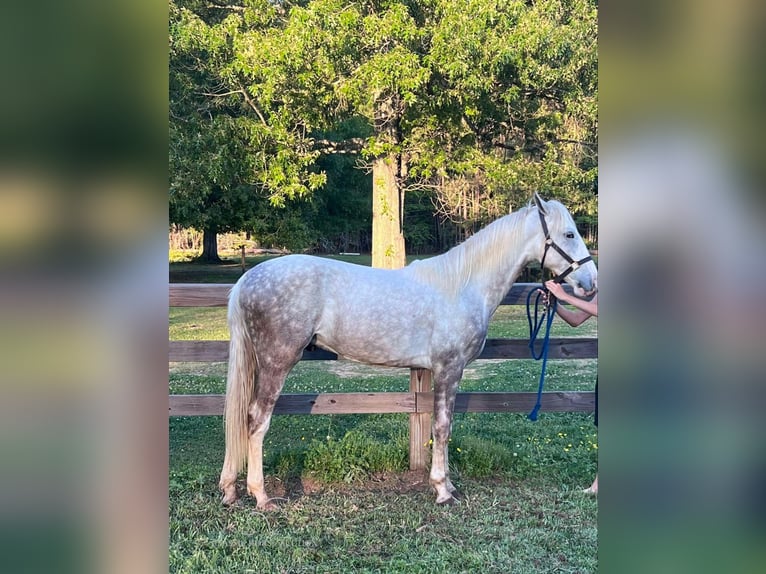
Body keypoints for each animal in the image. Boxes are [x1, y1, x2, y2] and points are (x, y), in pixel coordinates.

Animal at [219, 196, 596, 510]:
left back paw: (230, 489)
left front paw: (446, 485)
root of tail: (247, 280)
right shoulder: (449, 368)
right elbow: (442, 427)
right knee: (256, 420)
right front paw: (443, 490)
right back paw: (261, 496)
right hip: (277, 362)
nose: (589, 283)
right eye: (568, 234)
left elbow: (440, 426)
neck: (462, 286)